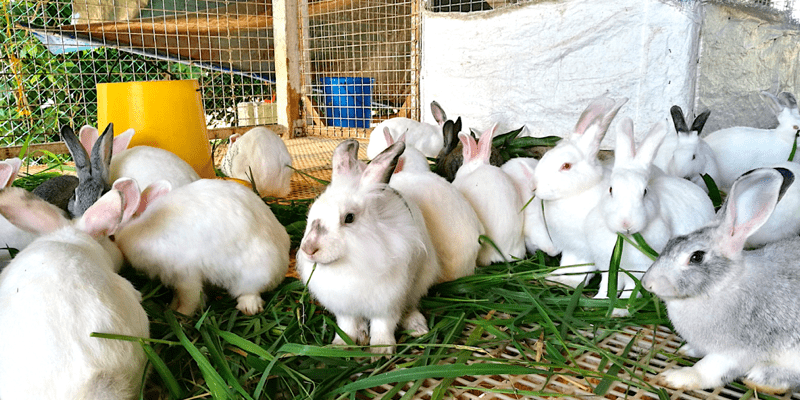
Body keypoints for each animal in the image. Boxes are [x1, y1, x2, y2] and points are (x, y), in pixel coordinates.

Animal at [113, 178, 290, 316]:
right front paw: (171, 308)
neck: (137, 228)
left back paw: (248, 307)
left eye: (112, 236)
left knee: (250, 291)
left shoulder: (185, 276)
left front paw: (180, 315)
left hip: (253, 273)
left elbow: (190, 299)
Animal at [296, 139, 440, 355]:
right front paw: (340, 345)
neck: (352, 262)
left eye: (349, 218)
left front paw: (381, 350)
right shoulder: (344, 309)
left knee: (411, 306)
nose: (309, 249)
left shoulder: (386, 305)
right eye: (312, 212)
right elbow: (346, 326)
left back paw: (417, 327)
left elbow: (383, 326)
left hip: (419, 283)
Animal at [533, 94, 628, 288]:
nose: (535, 186)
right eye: (546, 155)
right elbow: (571, 265)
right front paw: (557, 279)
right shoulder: (574, 249)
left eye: (566, 166)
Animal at [588, 118, 715, 303]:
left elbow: (631, 289)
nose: (626, 223)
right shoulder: (607, 267)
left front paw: (622, 306)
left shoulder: (639, 270)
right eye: (611, 190)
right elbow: (606, 284)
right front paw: (599, 299)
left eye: (645, 192)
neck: (627, 239)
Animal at [641, 167, 800, 394]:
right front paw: (686, 350)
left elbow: (707, 371)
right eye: (671, 242)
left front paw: (674, 377)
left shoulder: (734, 352)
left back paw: (761, 379)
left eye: (696, 257)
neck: (723, 286)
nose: (648, 283)